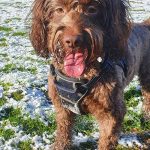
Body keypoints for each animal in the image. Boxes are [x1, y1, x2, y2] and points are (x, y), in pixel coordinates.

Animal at [30, 0, 150, 149]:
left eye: (92, 9)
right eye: (59, 9)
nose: (73, 41)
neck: (79, 77)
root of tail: (145, 24)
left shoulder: (112, 113)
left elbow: (106, 141)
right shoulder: (62, 107)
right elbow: (63, 131)